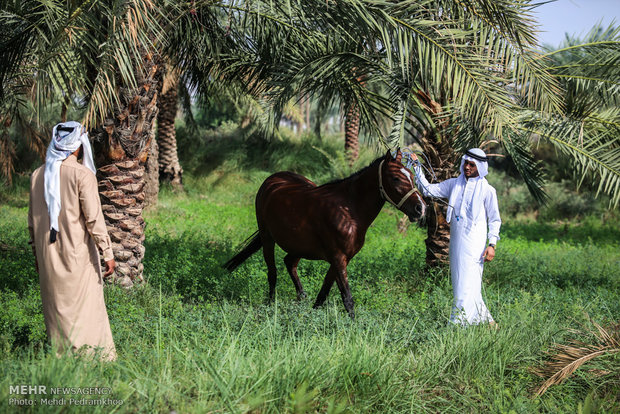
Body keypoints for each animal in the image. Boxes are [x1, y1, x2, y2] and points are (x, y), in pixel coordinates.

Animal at [225, 150, 428, 318]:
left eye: (412, 176)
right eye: (395, 178)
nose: (421, 208)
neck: (348, 211)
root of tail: (273, 180)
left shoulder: (341, 259)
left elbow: (323, 294)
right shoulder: (338, 259)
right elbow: (347, 298)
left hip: (298, 246)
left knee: (289, 263)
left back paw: (301, 298)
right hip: (268, 238)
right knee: (272, 273)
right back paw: (270, 305)